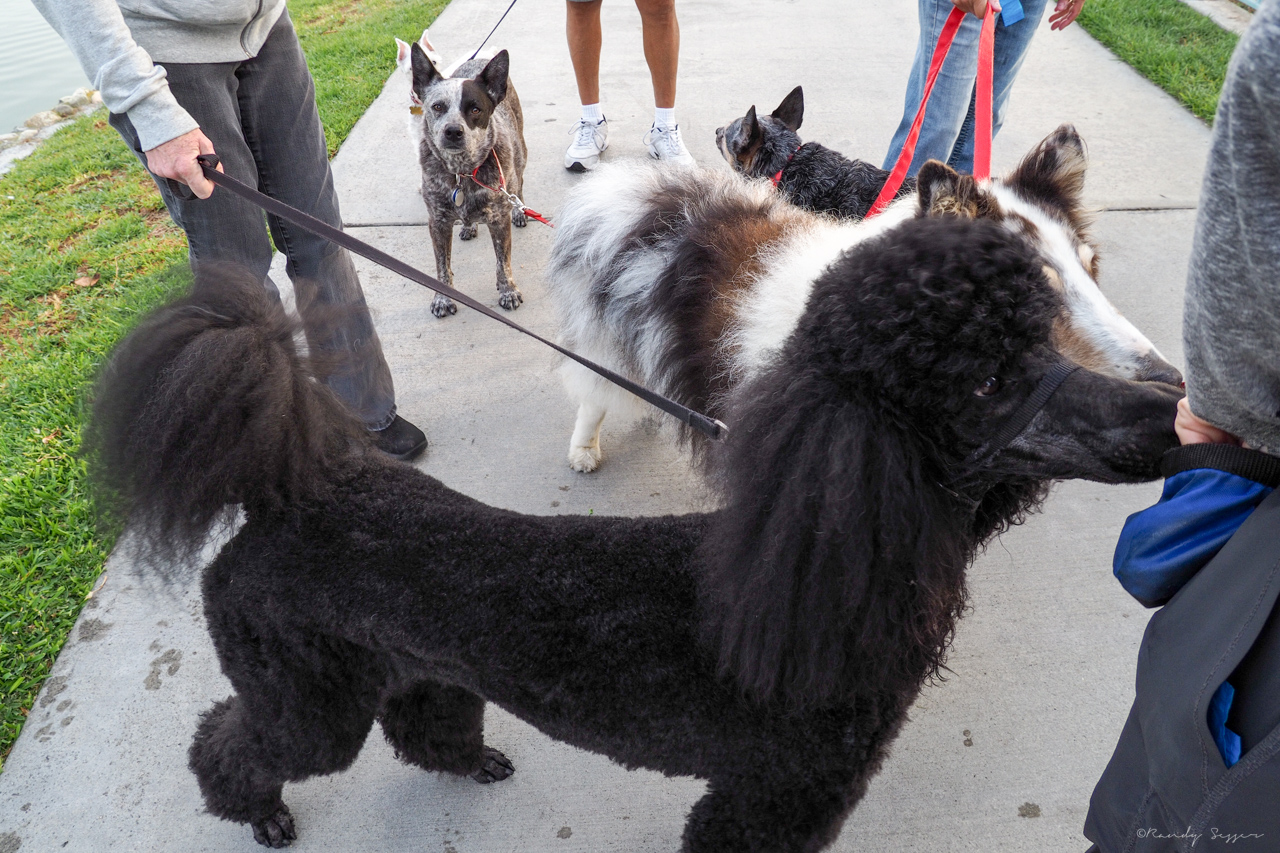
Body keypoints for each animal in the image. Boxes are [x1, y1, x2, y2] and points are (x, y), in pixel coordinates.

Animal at [545, 124, 1182, 471]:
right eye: (1031, 297)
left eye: (1092, 270)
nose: (1172, 383)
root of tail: (630, 186)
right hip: (603, 340)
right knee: (592, 393)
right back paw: (583, 451)